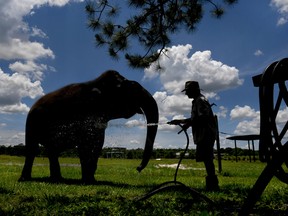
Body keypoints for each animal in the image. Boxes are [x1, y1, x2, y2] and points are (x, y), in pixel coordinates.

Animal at [19, 70, 159, 183]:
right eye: (133, 88)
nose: (138, 168)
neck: (97, 84)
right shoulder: (86, 111)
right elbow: (86, 144)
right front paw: (88, 181)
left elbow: (98, 143)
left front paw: (91, 180)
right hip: (32, 123)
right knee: (32, 149)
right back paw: (25, 179)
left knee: (52, 151)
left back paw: (57, 179)